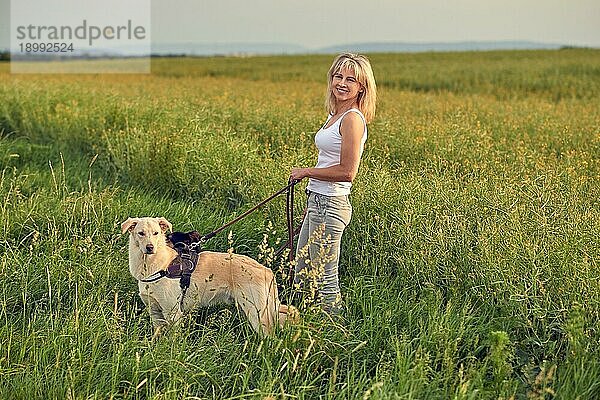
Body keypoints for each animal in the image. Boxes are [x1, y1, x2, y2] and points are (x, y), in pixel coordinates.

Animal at [120, 216, 298, 338]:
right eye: (141, 233)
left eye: (156, 233)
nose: (150, 248)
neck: (155, 266)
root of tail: (266, 270)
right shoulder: (154, 312)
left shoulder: (173, 313)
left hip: (258, 315)